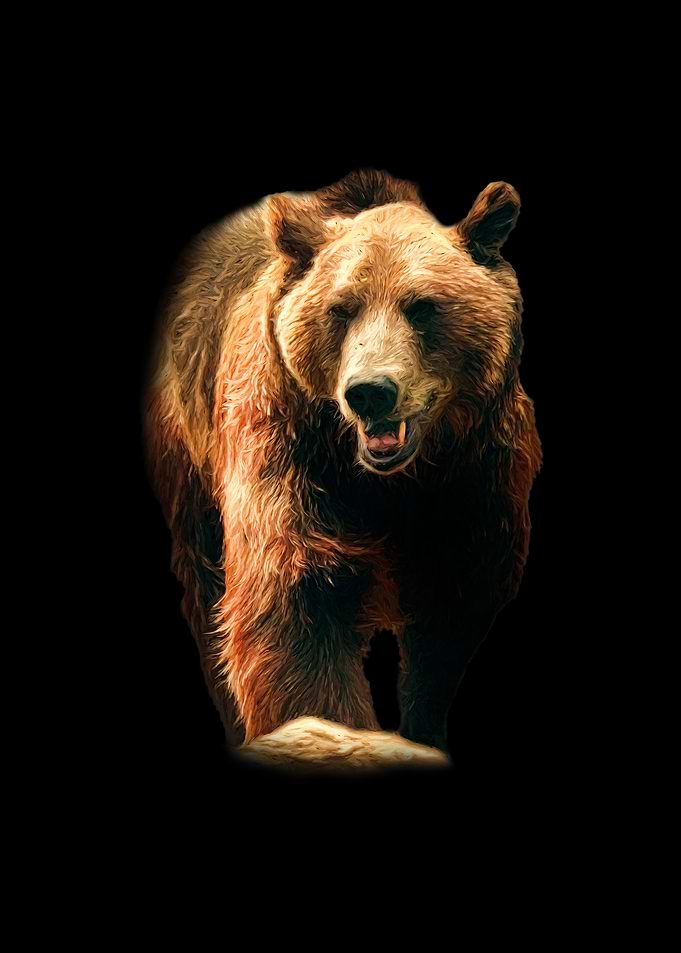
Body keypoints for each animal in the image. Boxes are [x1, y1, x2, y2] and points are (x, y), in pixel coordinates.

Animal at [144, 168, 542, 765]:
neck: (391, 480)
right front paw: (335, 731)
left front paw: (421, 728)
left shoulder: (473, 477)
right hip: (189, 447)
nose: (371, 391)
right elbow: (293, 605)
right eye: (342, 308)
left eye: (422, 306)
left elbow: (449, 615)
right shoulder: (288, 448)